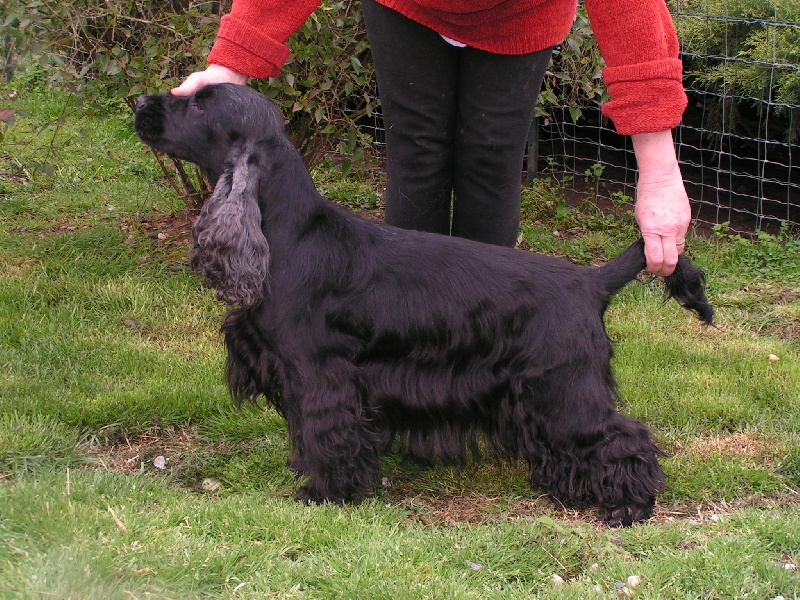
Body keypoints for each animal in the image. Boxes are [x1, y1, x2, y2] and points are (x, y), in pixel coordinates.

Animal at [135, 83, 713, 526]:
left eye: (200, 105)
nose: (139, 101)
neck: (286, 232)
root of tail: (590, 282)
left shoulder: (319, 373)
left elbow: (326, 433)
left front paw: (323, 492)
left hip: (564, 386)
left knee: (624, 437)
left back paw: (630, 505)